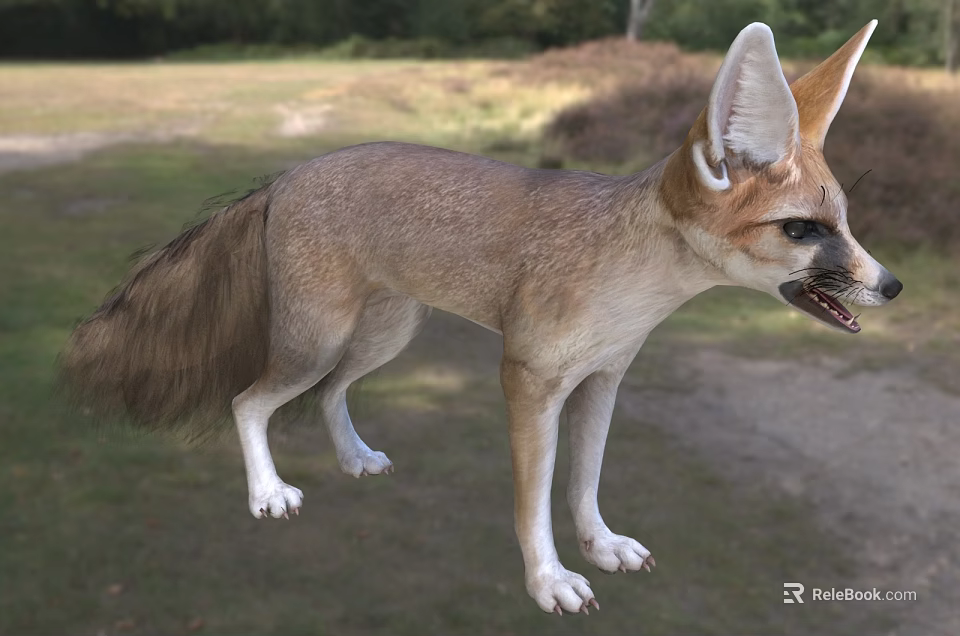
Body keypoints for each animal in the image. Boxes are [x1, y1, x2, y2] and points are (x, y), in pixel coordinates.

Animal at [60, 20, 902, 614]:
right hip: (318, 339)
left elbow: (585, 483)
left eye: (846, 222)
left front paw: (599, 546)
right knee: (248, 399)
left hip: (385, 336)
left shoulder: (603, 382)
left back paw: (353, 459)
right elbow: (535, 502)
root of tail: (287, 174)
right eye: (803, 230)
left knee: (329, 395)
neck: (631, 280)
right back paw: (267, 495)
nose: (892, 286)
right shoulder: (528, 383)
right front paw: (550, 581)